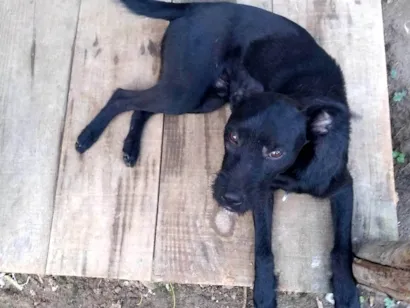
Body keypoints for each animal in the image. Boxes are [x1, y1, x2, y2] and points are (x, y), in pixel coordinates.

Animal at [76, 1, 358, 306]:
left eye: (276, 152)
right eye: (232, 137)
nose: (229, 199)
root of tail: (194, 7)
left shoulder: (342, 187)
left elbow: (342, 247)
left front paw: (346, 290)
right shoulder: (261, 195)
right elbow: (263, 248)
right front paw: (264, 290)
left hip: (203, 98)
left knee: (140, 107)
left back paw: (130, 146)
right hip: (185, 91)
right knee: (122, 96)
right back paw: (88, 135)